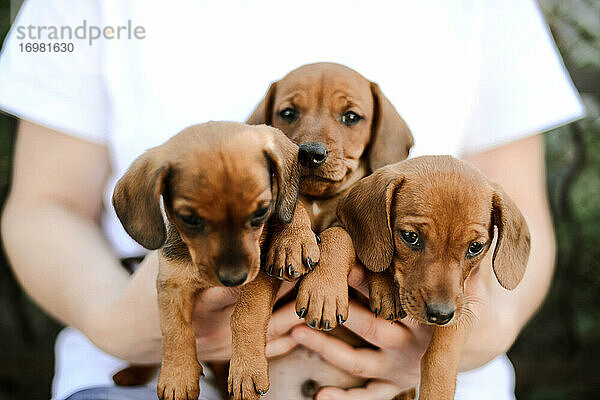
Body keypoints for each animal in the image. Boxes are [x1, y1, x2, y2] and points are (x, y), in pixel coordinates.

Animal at [111, 122, 304, 400]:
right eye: (190, 219)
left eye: (261, 212)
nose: (234, 278)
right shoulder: (171, 284)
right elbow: (174, 329)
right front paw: (177, 376)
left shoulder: (258, 275)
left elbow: (246, 315)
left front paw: (246, 370)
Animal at [338, 156, 528, 400]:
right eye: (410, 237)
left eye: (475, 247)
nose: (440, 314)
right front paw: (385, 288)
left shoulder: (464, 308)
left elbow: (439, 356)